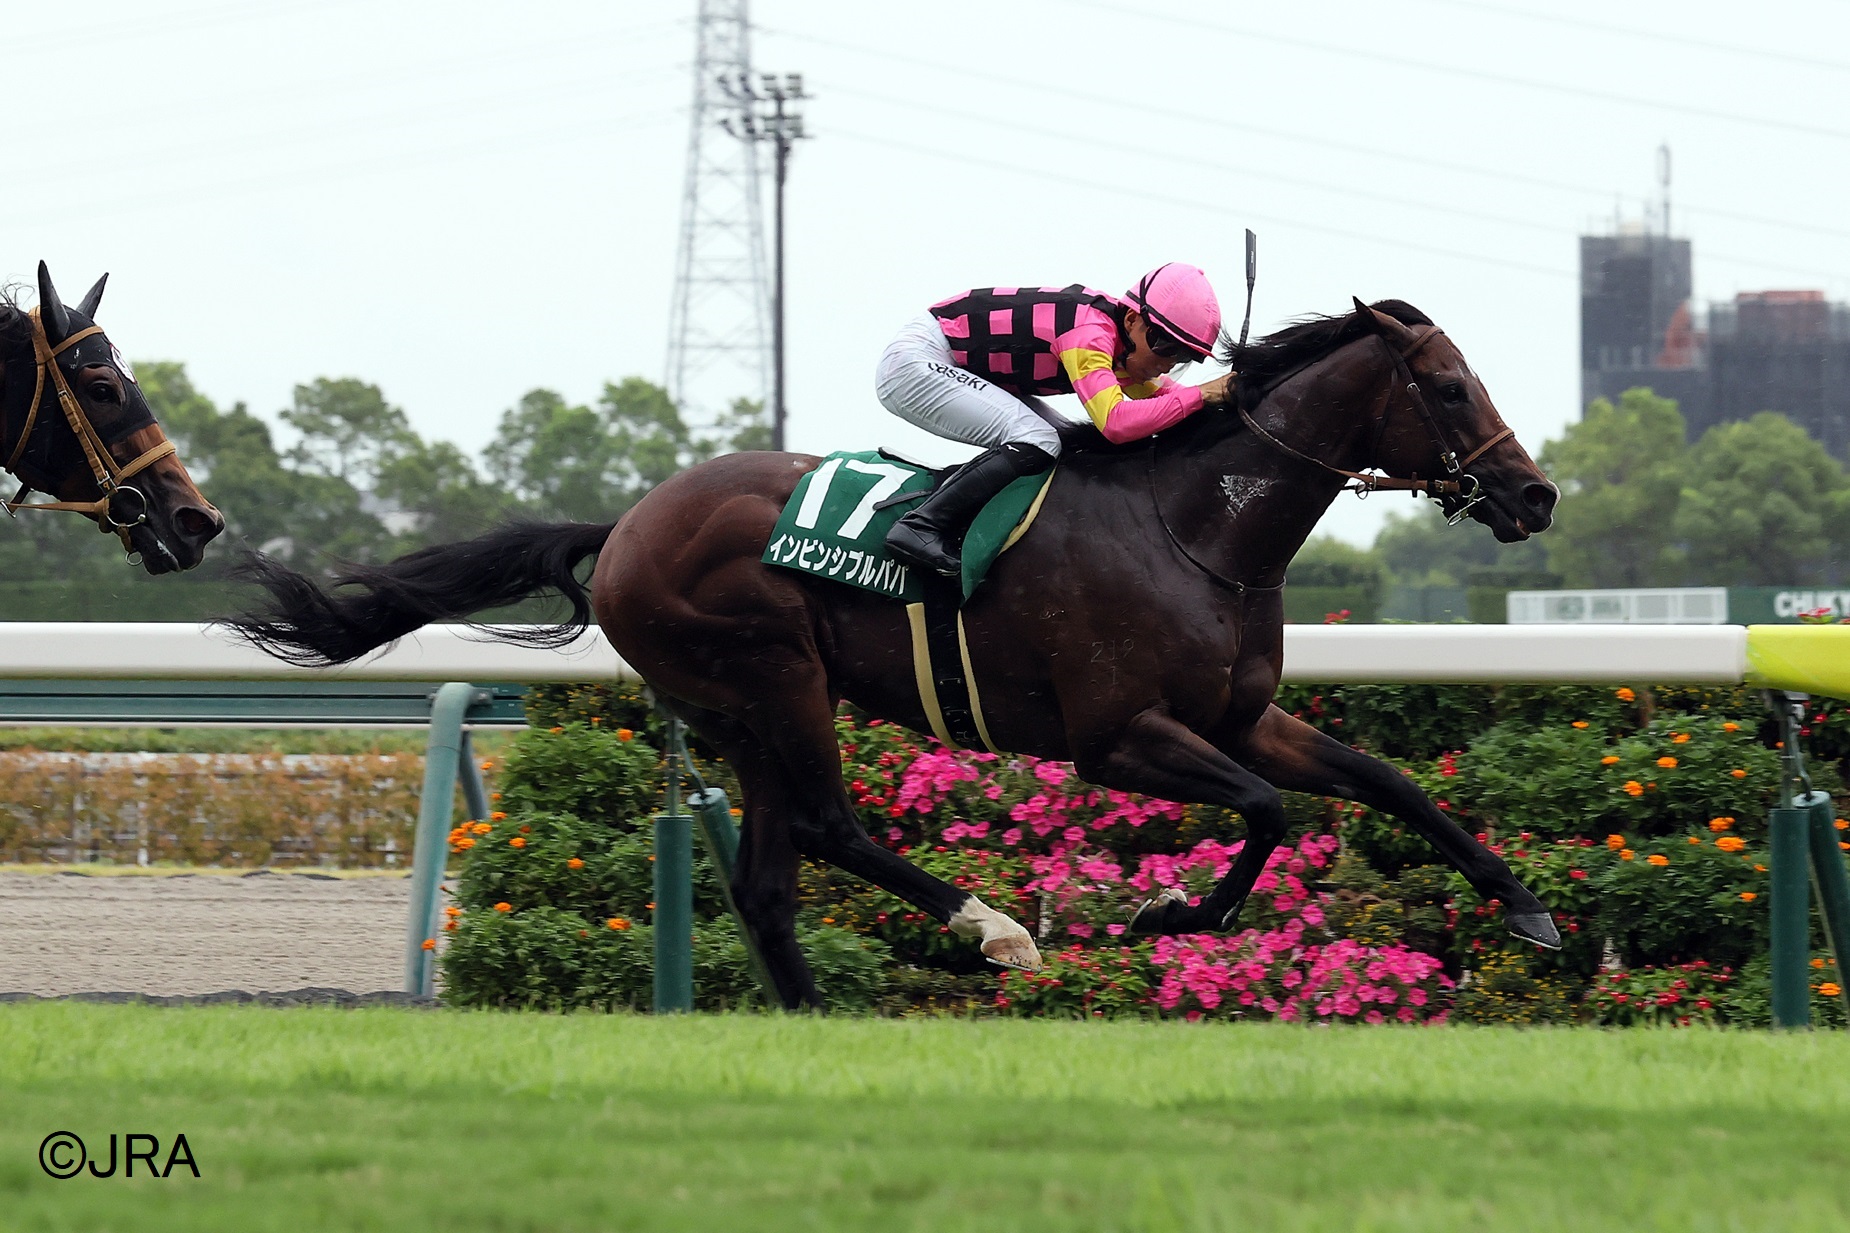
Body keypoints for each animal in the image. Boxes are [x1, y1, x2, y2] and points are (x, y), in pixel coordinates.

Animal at [227, 298, 1560, 1010]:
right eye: (1448, 387)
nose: (1532, 495)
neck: (1193, 526)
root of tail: (627, 524)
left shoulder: (1238, 717)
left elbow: (1381, 782)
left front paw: (1530, 912)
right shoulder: (1116, 738)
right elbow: (1267, 813)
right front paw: (1167, 916)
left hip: (738, 709)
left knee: (771, 878)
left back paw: (820, 1015)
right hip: (769, 675)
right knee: (829, 826)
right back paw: (993, 929)